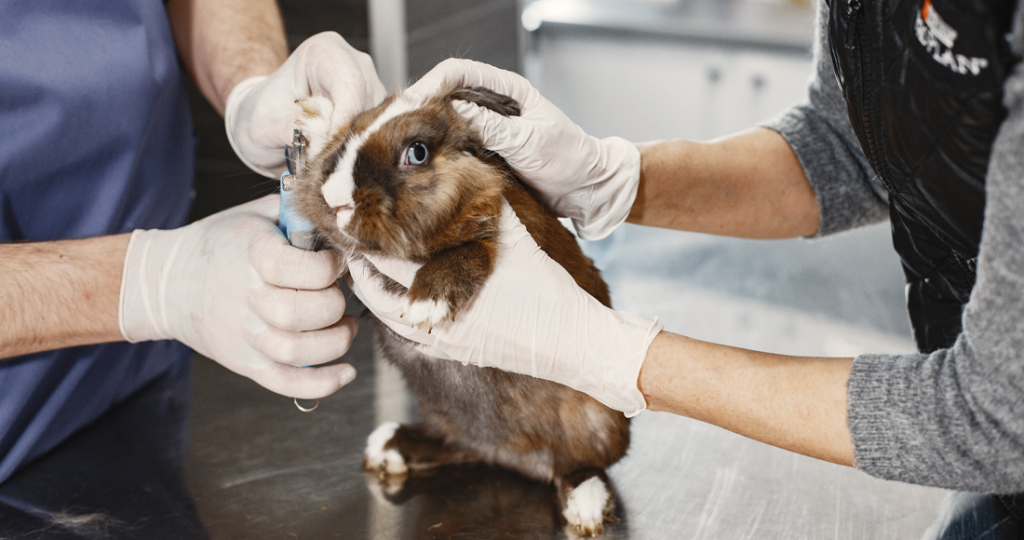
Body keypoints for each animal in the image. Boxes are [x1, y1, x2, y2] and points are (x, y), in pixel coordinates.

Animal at [289, 84, 630, 537]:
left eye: (417, 153)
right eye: (349, 137)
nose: (336, 199)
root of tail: (510, 456)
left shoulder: (493, 229)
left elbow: (468, 253)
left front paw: (424, 307)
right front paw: (314, 116)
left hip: (598, 421)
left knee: (576, 466)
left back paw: (587, 506)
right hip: (446, 417)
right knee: (459, 445)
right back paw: (390, 447)